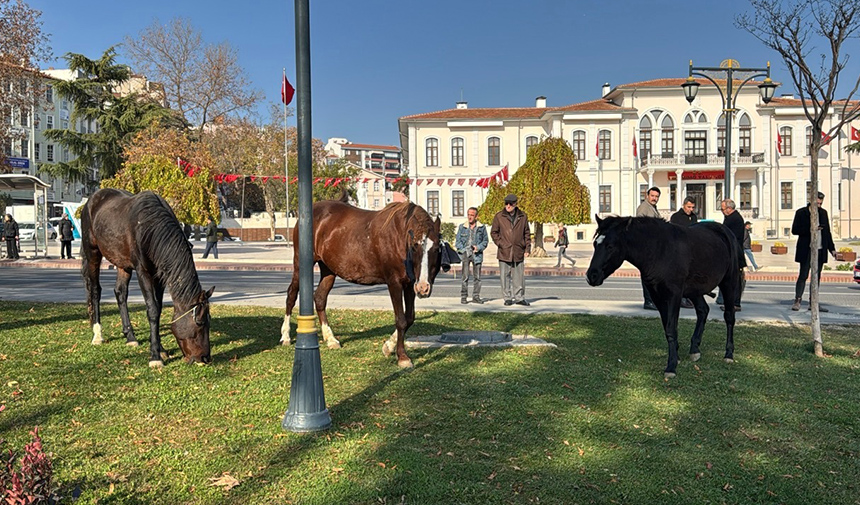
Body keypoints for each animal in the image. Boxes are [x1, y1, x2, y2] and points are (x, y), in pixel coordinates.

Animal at [80, 186, 215, 366]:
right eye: (199, 322)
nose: (205, 358)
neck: (148, 226)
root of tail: (91, 200)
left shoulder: (160, 275)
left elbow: (158, 309)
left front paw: (160, 349)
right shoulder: (143, 272)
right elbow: (152, 309)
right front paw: (155, 357)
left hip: (123, 263)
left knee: (120, 293)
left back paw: (130, 336)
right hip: (92, 253)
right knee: (95, 290)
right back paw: (97, 335)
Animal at [282, 199, 444, 368]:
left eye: (436, 247)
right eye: (414, 246)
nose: (423, 288)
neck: (400, 237)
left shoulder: (410, 284)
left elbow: (410, 318)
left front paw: (388, 346)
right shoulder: (394, 283)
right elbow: (401, 320)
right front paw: (402, 357)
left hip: (328, 269)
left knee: (320, 298)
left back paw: (330, 338)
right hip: (301, 265)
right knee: (291, 295)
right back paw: (286, 336)